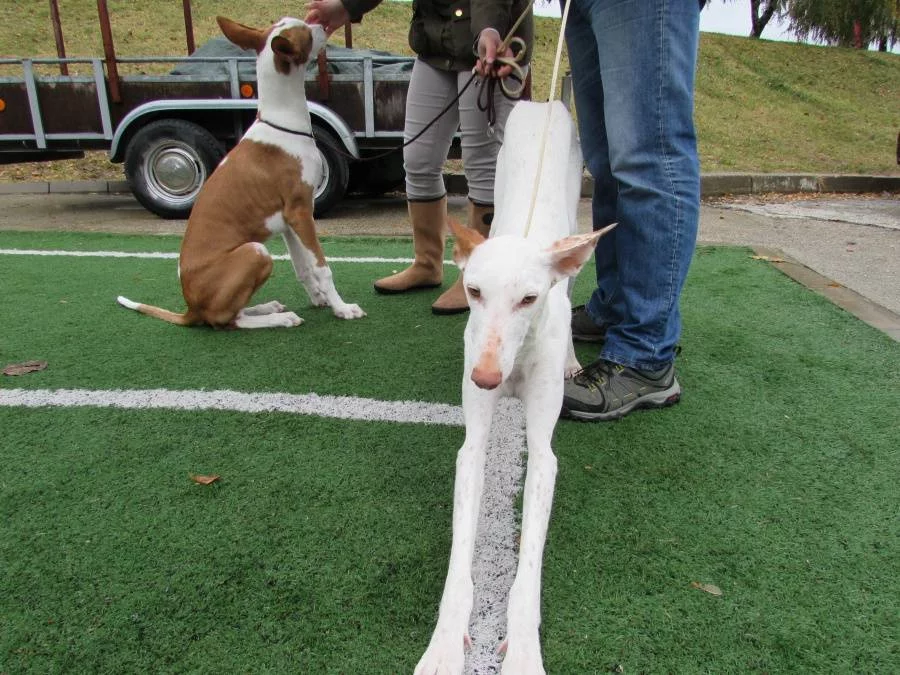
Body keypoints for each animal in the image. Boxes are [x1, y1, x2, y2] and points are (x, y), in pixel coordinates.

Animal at [118, 17, 364, 328]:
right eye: (306, 32)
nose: (320, 23)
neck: (282, 122)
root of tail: (190, 308)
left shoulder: (289, 219)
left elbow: (303, 267)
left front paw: (320, 299)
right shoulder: (300, 211)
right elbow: (321, 267)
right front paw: (341, 308)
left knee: (235, 311)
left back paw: (267, 308)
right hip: (254, 252)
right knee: (226, 320)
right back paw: (278, 318)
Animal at [416, 101, 616, 675]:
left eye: (528, 299)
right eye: (473, 291)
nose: (485, 379)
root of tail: (543, 103)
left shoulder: (546, 457)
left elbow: (528, 568)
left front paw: (524, 649)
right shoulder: (471, 446)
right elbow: (459, 560)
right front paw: (444, 644)